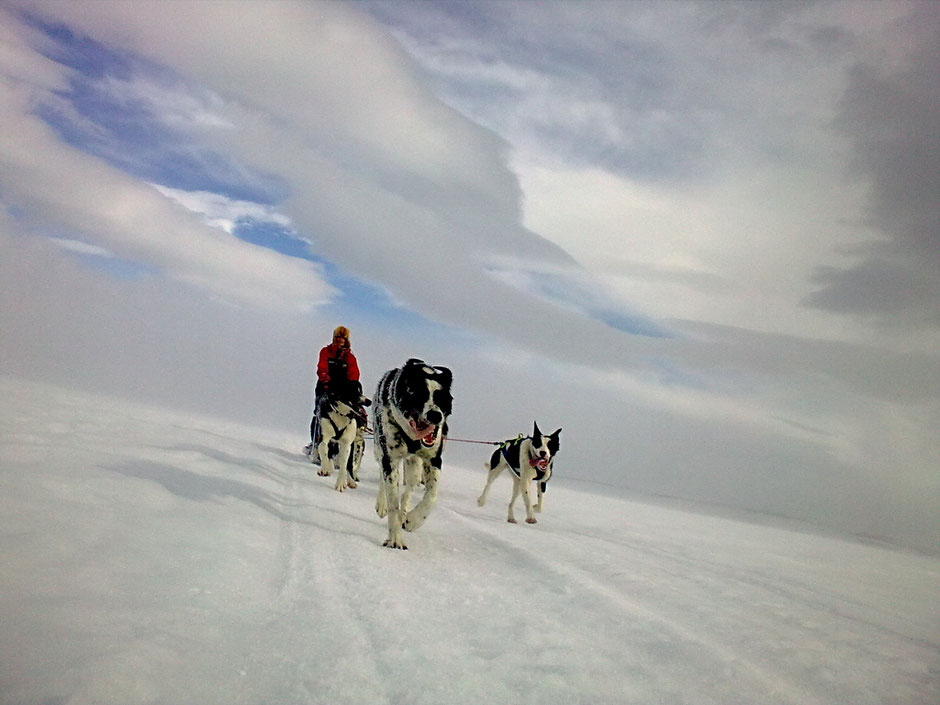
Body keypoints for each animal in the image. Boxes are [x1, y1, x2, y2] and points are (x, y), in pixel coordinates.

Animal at [370, 358, 452, 552]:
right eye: (417, 393)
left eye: (441, 397)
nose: (435, 415)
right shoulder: (389, 459)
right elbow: (392, 501)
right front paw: (395, 539)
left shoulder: (433, 459)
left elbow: (432, 495)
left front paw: (413, 520)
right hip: (379, 450)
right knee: (383, 479)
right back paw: (382, 504)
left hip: (414, 465)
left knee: (408, 489)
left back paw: (405, 514)